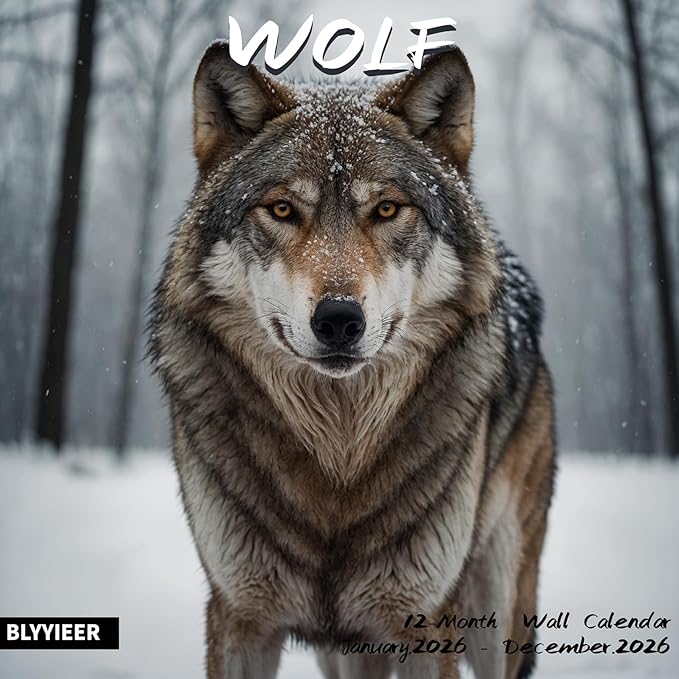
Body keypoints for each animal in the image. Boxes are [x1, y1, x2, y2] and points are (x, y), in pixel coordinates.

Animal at [150, 40, 556, 679]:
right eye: (282, 210)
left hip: (495, 609)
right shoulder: (240, 615)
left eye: (387, 210)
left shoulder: (425, 620)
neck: (338, 458)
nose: (339, 319)